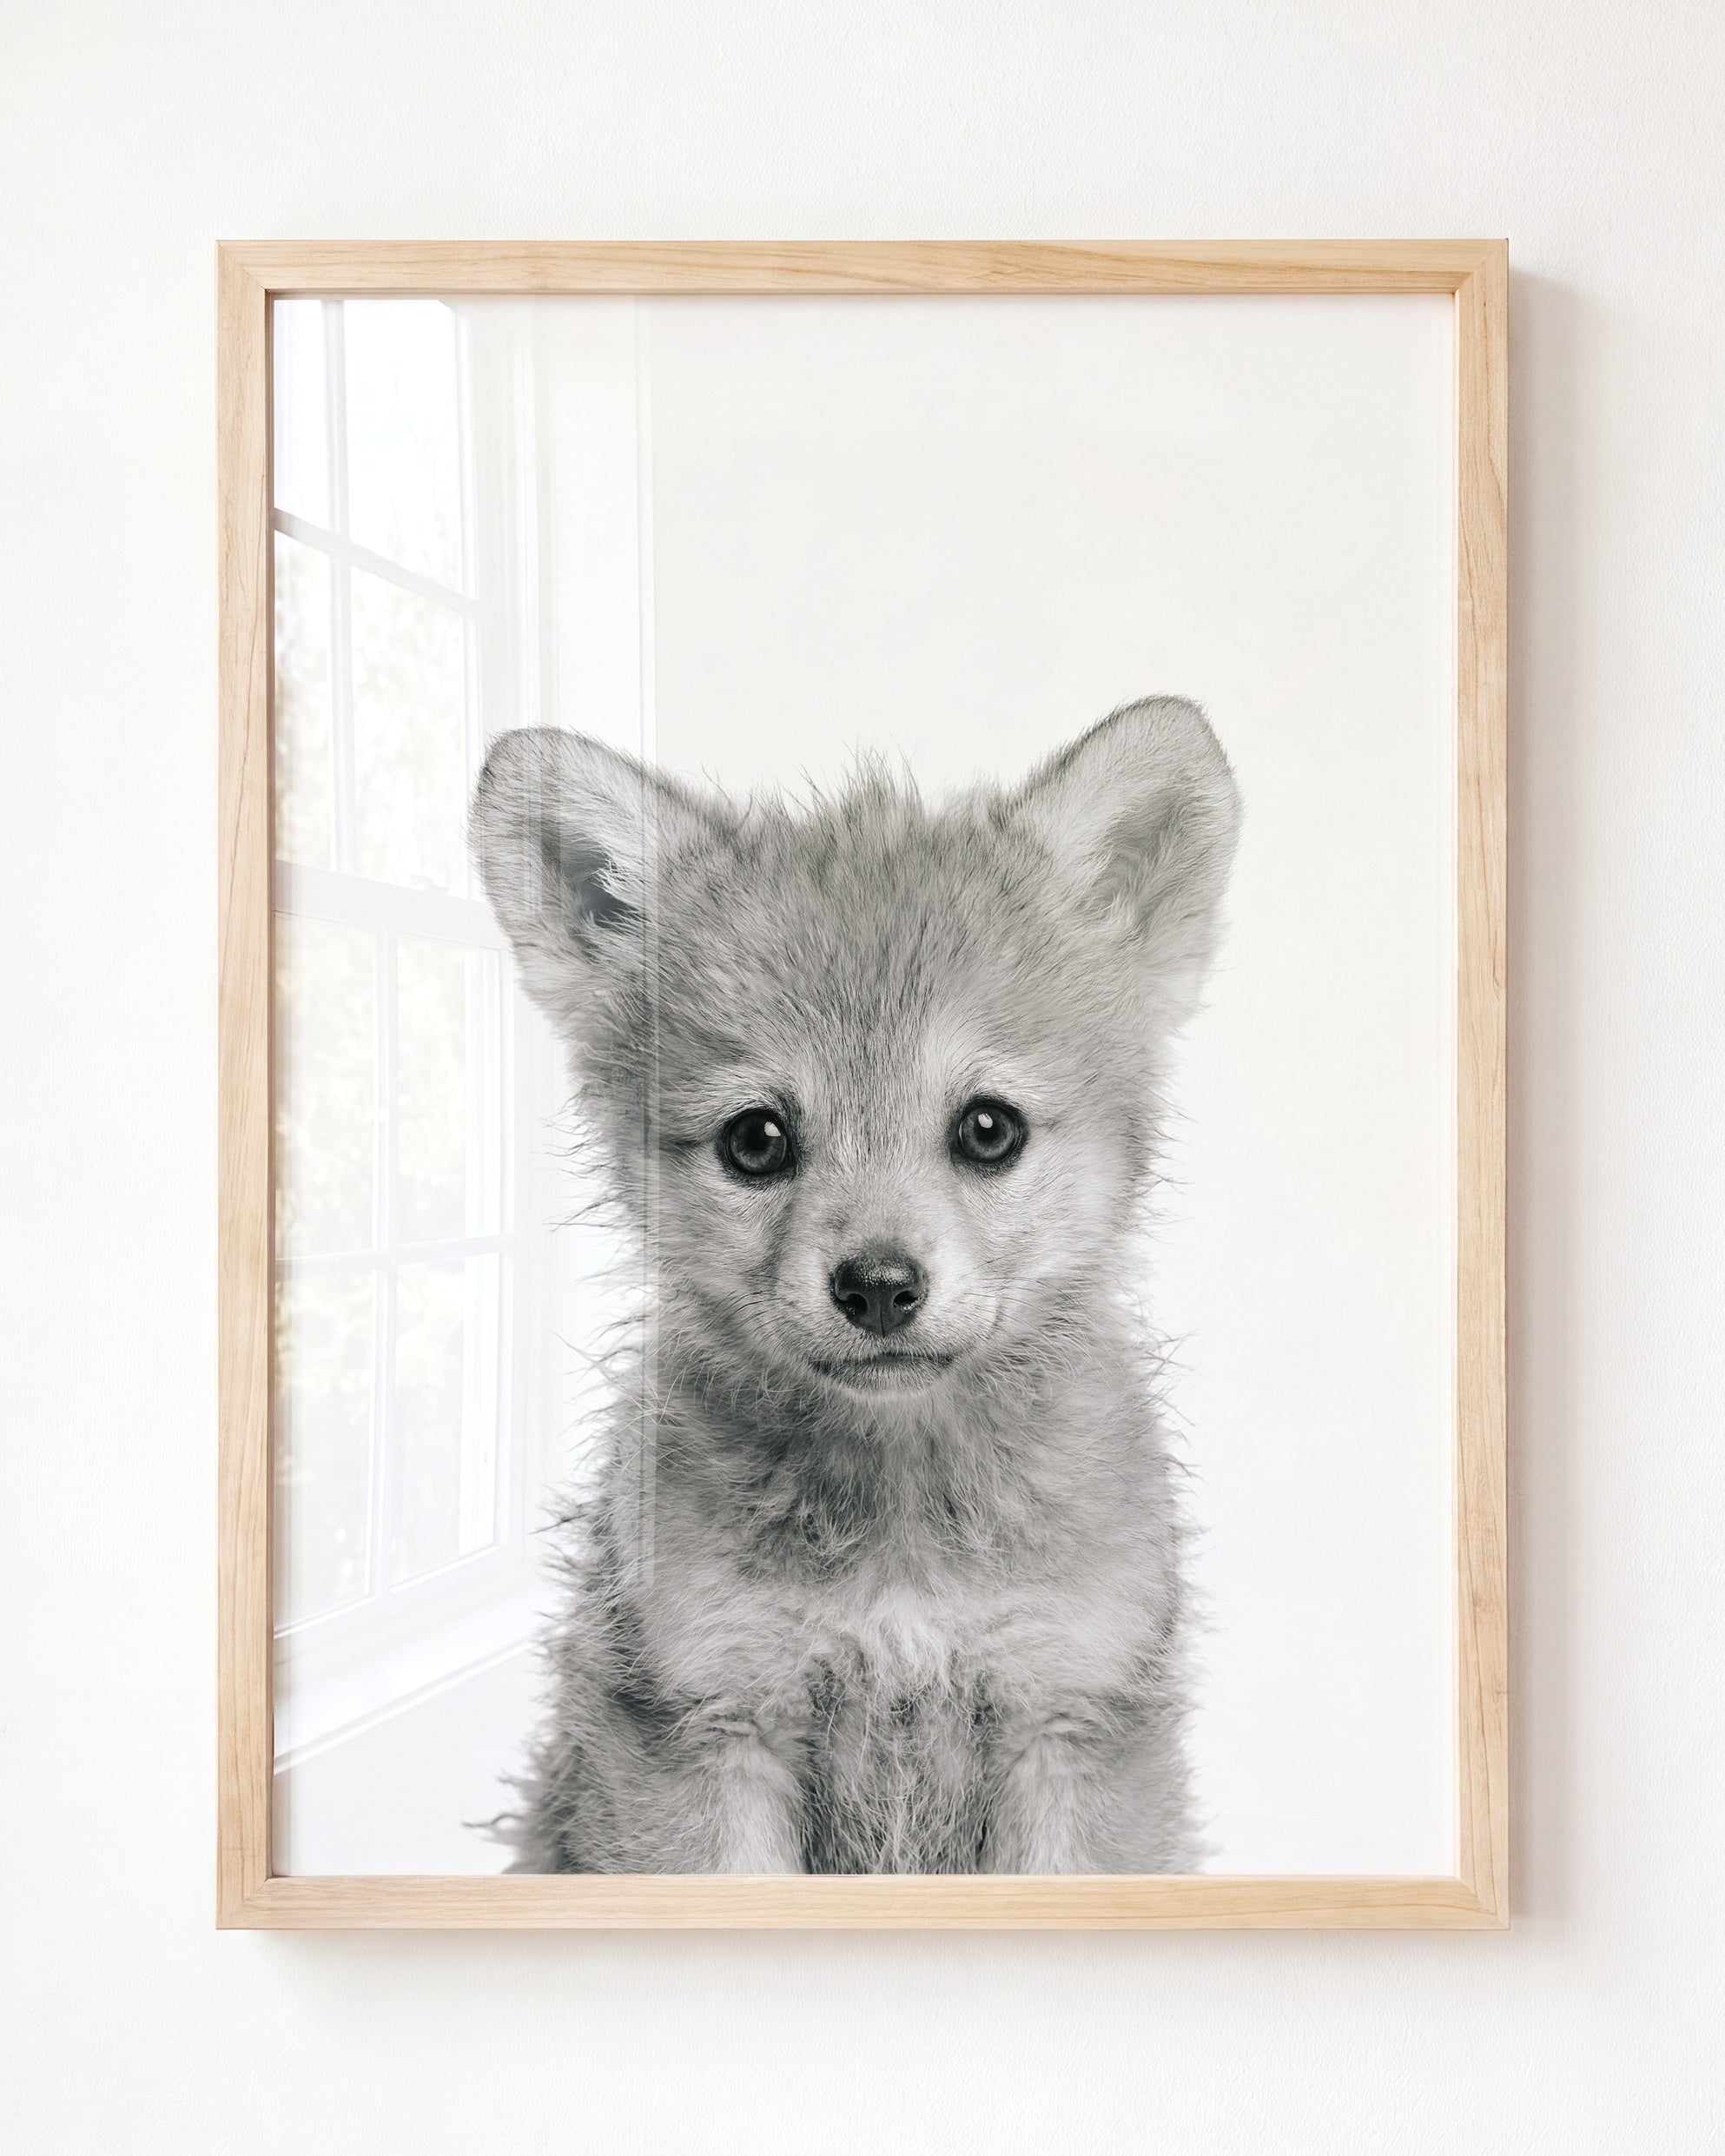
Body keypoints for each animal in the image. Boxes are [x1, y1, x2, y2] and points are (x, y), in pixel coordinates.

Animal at [469, 696, 1241, 1873]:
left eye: (988, 1128)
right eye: (756, 1140)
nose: (878, 1287)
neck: (902, 1532)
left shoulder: (1070, 1717)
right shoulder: (709, 1724)